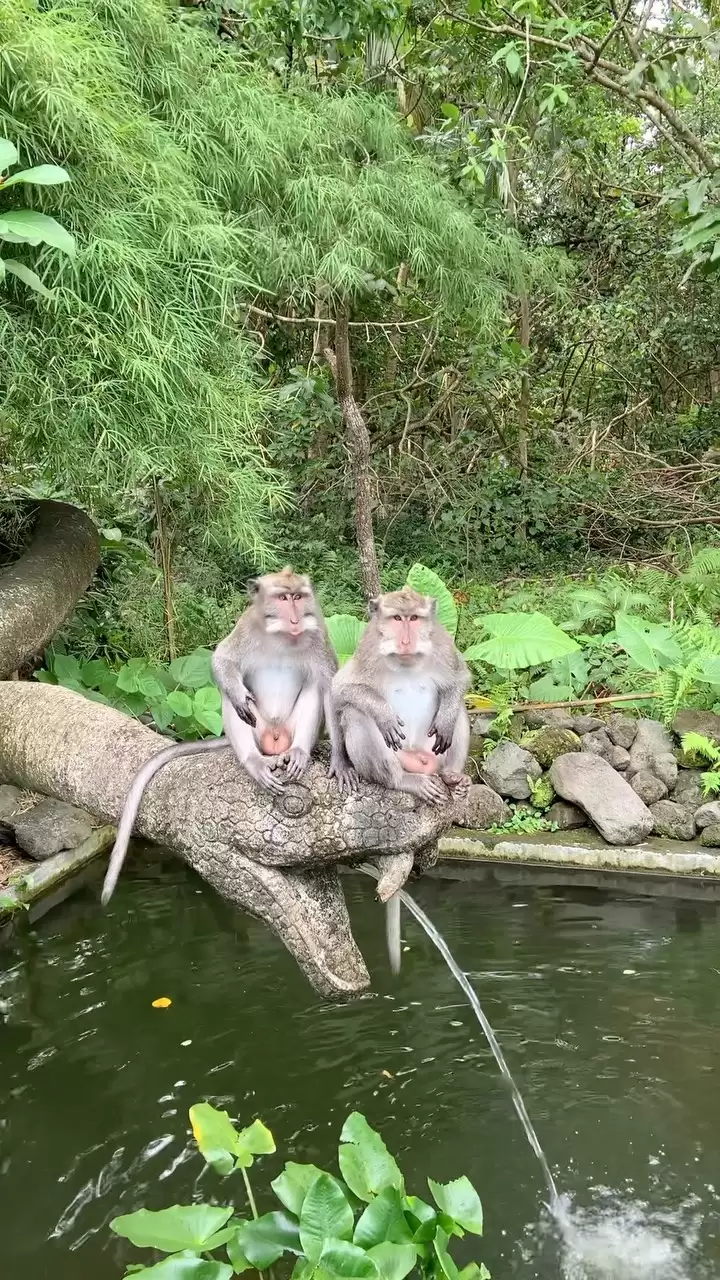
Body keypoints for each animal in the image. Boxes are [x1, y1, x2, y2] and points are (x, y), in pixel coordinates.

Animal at [100, 568, 356, 905]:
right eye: (282, 597)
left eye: (298, 597)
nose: (295, 617)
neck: (281, 638)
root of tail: (273, 740)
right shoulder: (245, 627)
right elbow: (222, 661)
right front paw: (237, 694)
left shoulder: (320, 634)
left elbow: (328, 686)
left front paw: (340, 761)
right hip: (258, 731)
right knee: (231, 699)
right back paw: (253, 761)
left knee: (315, 687)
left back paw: (299, 752)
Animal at [331, 587, 471, 808]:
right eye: (397, 618)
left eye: (413, 618)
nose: (406, 642)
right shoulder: (368, 649)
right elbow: (339, 689)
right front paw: (384, 715)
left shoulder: (443, 644)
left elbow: (459, 678)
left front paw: (446, 722)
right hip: (399, 758)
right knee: (354, 713)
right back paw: (402, 780)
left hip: (433, 754)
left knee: (459, 707)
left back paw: (451, 776)